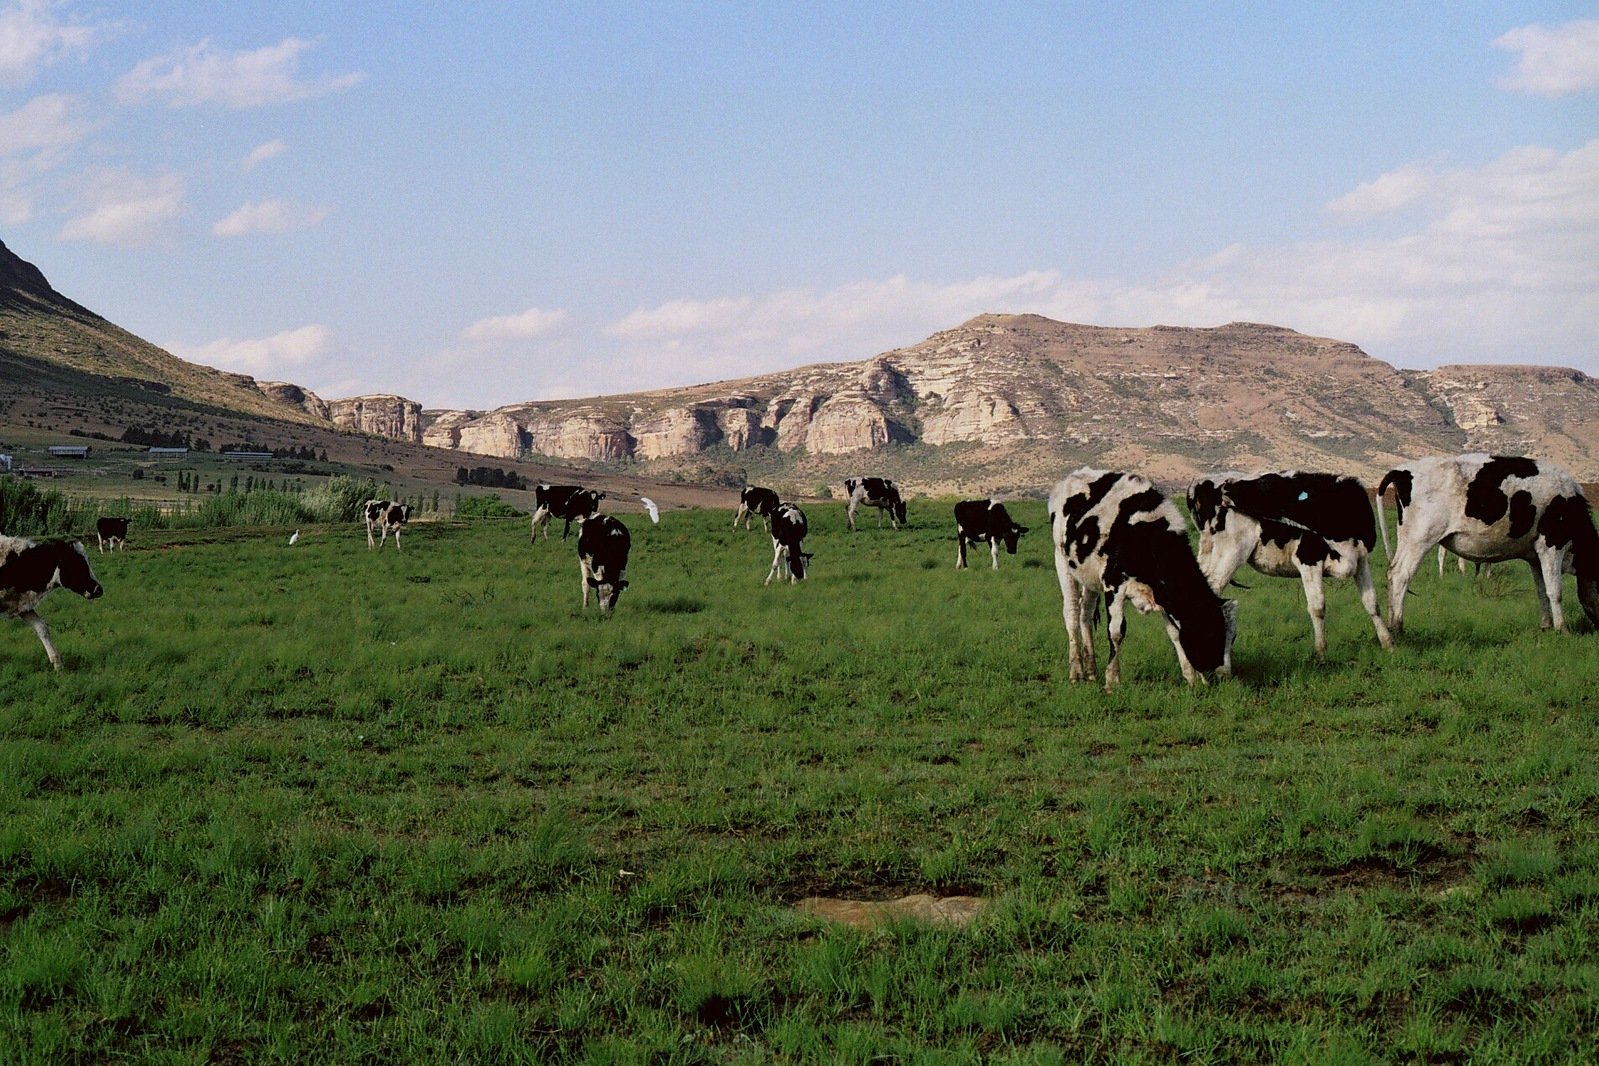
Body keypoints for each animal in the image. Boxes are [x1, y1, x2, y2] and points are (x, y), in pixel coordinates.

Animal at [1048, 469, 1234, 693]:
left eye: (1232, 638)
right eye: (1212, 633)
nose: (1224, 677)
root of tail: (1074, 476)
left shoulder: (1163, 593)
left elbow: (1174, 633)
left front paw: (1190, 679)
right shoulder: (1114, 584)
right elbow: (1116, 632)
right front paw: (1112, 682)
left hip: (1087, 575)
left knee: (1086, 613)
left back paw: (1091, 672)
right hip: (1062, 561)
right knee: (1072, 613)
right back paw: (1076, 672)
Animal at [1189, 473, 1400, 661]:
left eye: (1266, 482)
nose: (1226, 487)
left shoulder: (1361, 560)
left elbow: (1372, 603)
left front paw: (1388, 644)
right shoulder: (1308, 561)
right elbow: (1318, 607)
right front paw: (1321, 653)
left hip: (1209, 554)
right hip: (1230, 553)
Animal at [1375, 453, 1599, 632]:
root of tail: (1403, 470)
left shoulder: (1534, 556)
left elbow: (1542, 590)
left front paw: (1545, 626)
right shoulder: (1551, 546)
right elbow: (1555, 591)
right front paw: (1562, 629)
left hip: (1408, 539)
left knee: (1392, 573)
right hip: (1419, 539)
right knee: (1401, 575)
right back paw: (1397, 627)